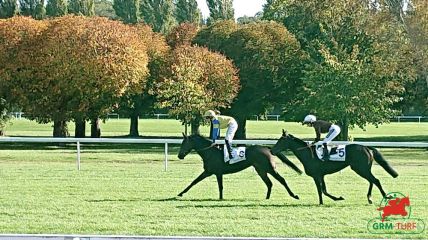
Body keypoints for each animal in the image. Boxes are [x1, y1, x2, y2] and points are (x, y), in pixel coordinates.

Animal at [270, 129, 400, 204]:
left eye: (281, 140)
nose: (271, 150)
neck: (308, 154)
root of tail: (367, 147)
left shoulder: (316, 175)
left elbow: (321, 190)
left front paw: (327, 201)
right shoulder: (320, 175)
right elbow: (323, 190)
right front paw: (331, 200)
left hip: (361, 168)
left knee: (375, 180)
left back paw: (385, 197)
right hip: (362, 169)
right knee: (372, 181)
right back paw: (369, 198)